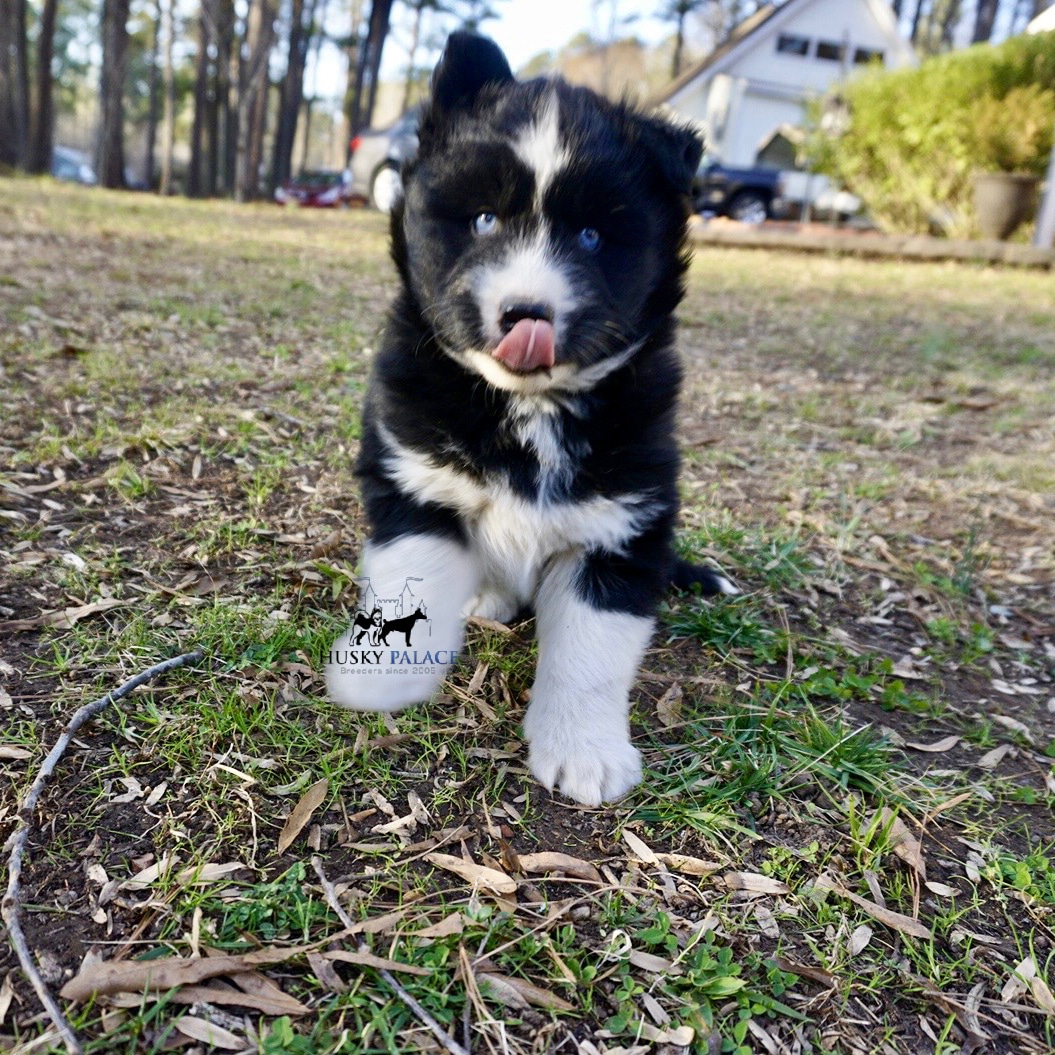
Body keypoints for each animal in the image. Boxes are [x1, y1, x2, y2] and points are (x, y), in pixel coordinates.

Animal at [327, 30, 734, 806]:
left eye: (591, 237)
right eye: (483, 218)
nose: (526, 314)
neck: (527, 408)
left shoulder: (619, 524)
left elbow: (592, 653)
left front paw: (584, 750)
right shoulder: (418, 481)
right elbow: (413, 569)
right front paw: (386, 678)